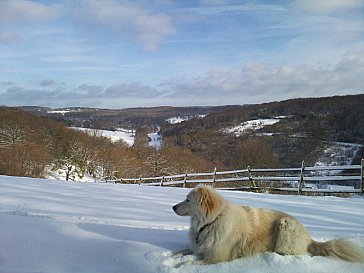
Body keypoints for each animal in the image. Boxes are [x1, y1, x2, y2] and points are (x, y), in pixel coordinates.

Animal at [173, 184, 364, 262]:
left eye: (188, 200)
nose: (173, 206)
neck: (211, 222)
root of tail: (309, 238)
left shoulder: (216, 257)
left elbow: (190, 262)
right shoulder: (199, 247)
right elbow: (182, 251)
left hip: (285, 225)